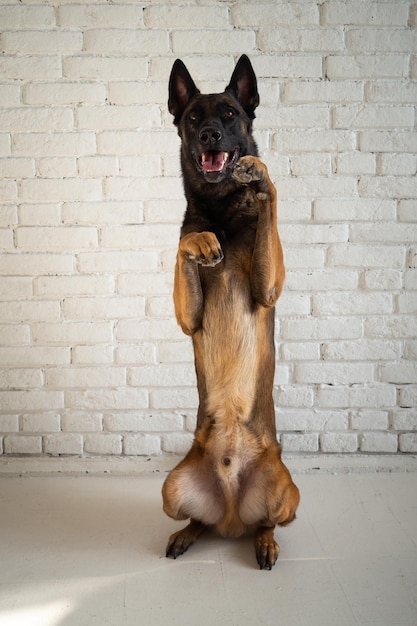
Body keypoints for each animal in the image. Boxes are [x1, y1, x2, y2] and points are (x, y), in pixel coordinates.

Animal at [161, 56, 298, 568]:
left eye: (230, 113)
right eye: (193, 118)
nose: (209, 136)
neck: (221, 209)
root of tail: (232, 513)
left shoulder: (268, 287)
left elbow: (268, 199)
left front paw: (259, 176)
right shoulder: (188, 317)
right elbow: (184, 242)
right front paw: (200, 241)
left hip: (287, 489)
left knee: (270, 522)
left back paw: (265, 541)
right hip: (171, 488)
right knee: (199, 519)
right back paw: (188, 534)